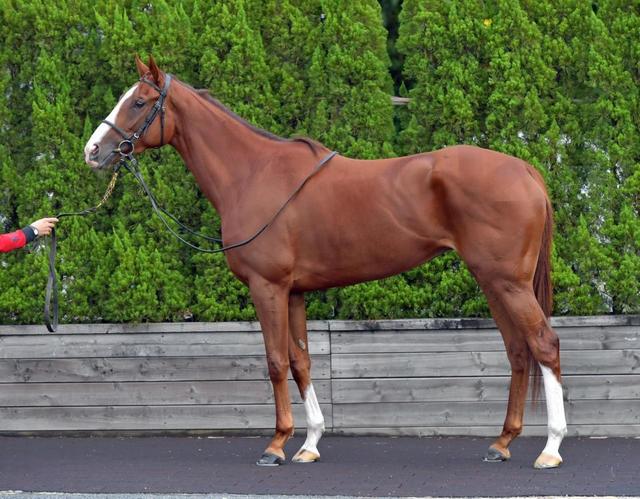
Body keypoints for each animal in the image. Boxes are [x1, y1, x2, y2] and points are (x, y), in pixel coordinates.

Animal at [84, 56, 567, 469]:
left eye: (139, 102)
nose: (93, 151)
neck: (253, 174)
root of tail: (525, 170)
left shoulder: (268, 287)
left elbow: (276, 361)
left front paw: (276, 445)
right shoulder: (294, 292)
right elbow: (301, 362)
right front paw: (309, 444)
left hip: (507, 282)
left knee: (544, 343)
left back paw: (551, 448)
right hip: (492, 281)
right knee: (518, 350)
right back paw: (501, 443)